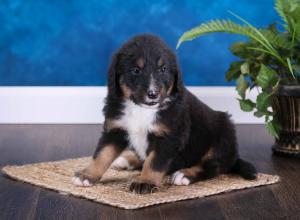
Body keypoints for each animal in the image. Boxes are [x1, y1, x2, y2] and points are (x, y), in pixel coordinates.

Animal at [71, 33, 256, 193]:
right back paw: (126, 160)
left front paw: (145, 182)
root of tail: (234, 156)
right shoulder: (116, 128)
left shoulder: (168, 137)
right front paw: (86, 175)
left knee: (212, 166)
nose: (152, 94)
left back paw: (184, 174)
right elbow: (101, 154)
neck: (141, 109)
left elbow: (154, 162)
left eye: (163, 69)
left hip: (223, 135)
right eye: (135, 70)